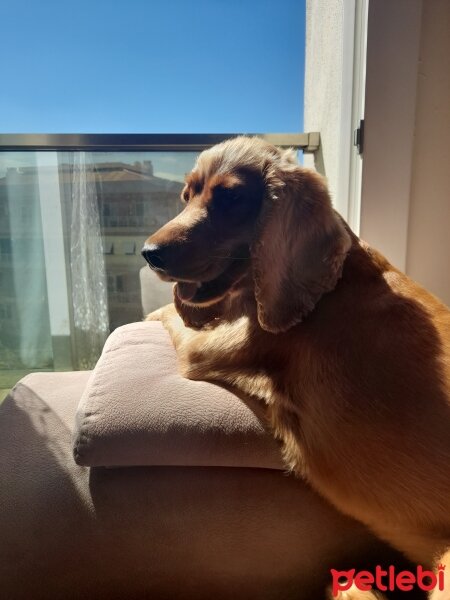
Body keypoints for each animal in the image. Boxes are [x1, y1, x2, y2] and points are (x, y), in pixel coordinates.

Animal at [142, 136, 450, 572]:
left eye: (231, 198)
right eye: (187, 196)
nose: (148, 252)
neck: (331, 285)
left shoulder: (209, 348)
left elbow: (168, 316)